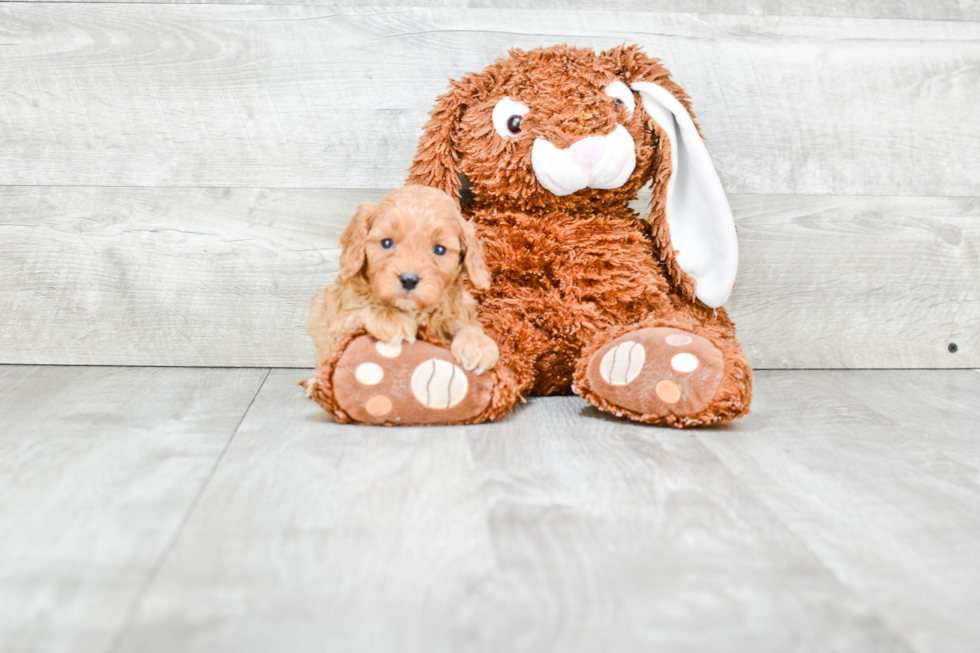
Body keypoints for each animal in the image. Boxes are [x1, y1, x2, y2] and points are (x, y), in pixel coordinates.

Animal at [310, 185, 502, 376]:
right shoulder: (336, 325)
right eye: (387, 243)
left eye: (439, 249)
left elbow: (469, 325)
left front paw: (477, 344)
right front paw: (392, 319)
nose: (409, 280)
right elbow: (360, 310)